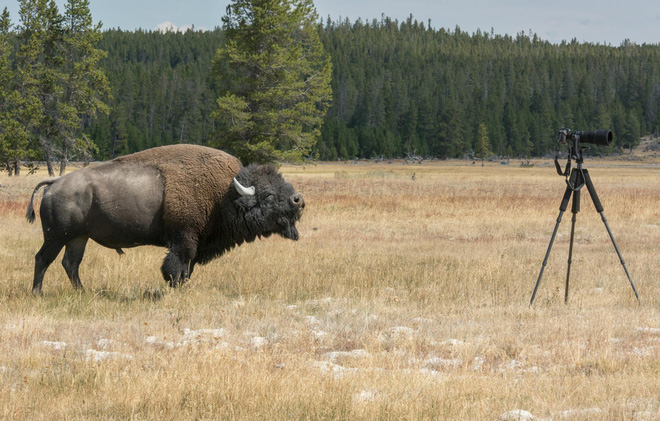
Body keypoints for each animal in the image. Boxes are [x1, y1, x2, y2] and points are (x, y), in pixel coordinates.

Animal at [25, 144, 304, 296]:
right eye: (268, 195)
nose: (298, 200)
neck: (225, 194)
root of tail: (54, 183)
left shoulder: (194, 244)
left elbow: (187, 269)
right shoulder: (184, 239)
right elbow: (176, 267)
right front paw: (175, 287)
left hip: (78, 238)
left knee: (71, 264)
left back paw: (82, 292)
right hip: (56, 236)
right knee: (43, 259)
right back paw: (38, 293)